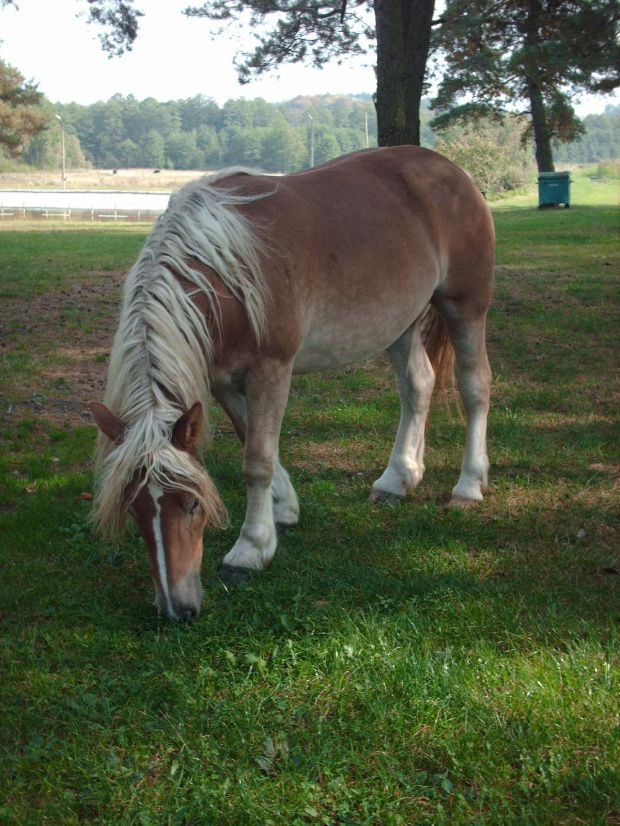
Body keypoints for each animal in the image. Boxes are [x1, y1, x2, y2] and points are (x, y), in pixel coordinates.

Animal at [89, 146, 494, 616]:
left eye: (191, 503)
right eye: (134, 511)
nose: (176, 608)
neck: (226, 267)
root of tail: (452, 170)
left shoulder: (271, 369)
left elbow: (257, 460)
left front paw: (251, 548)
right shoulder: (223, 380)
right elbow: (252, 440)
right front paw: (282, 511)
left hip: (465, 305)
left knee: (475, 387)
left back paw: (468, 485)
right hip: (401, 324)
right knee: (418, 387)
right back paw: (398, 479)